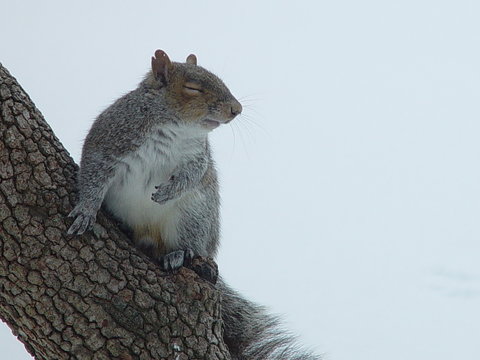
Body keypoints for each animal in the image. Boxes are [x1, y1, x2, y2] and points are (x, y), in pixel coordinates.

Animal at [66, 49, 318, 358]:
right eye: (193, 88)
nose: (236, 109)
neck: (176, 129)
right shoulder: (110, 139)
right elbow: (93, 171)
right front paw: (86, 211)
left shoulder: (197, 157)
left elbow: (193, 175)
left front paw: (168, 192)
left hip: (194, 218)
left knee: (188, 245)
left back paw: (179, 254)